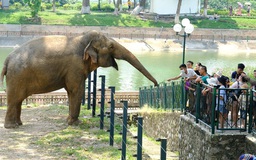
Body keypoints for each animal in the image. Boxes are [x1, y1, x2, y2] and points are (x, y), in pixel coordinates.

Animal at [0, 30, 158, 128]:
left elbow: (71, 92)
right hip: (17, 76)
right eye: (111, 46)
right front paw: (76, 123)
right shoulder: (75, 66)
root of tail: (7, 60)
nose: (156, 84)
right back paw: (12, 127)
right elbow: (77, 90)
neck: (82, 38)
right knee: (14, 99)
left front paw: (69, 121)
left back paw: (18, 124)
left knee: (18, 100)